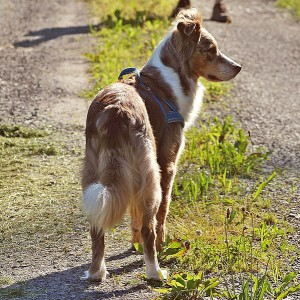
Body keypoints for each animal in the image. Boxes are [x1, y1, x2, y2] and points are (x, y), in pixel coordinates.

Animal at [80, 8, 241, 282]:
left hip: (95, 176)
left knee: (97, 228)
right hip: (151, 176)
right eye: (211, 50)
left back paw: (96, 273)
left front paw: (133, 244)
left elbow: (133, 216)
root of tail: (114, 112)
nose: (239, 67)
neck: (170, 78)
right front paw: (161, 244)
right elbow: (163, 213)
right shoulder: (167, 164)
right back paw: (156, 271)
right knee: (150, 225)